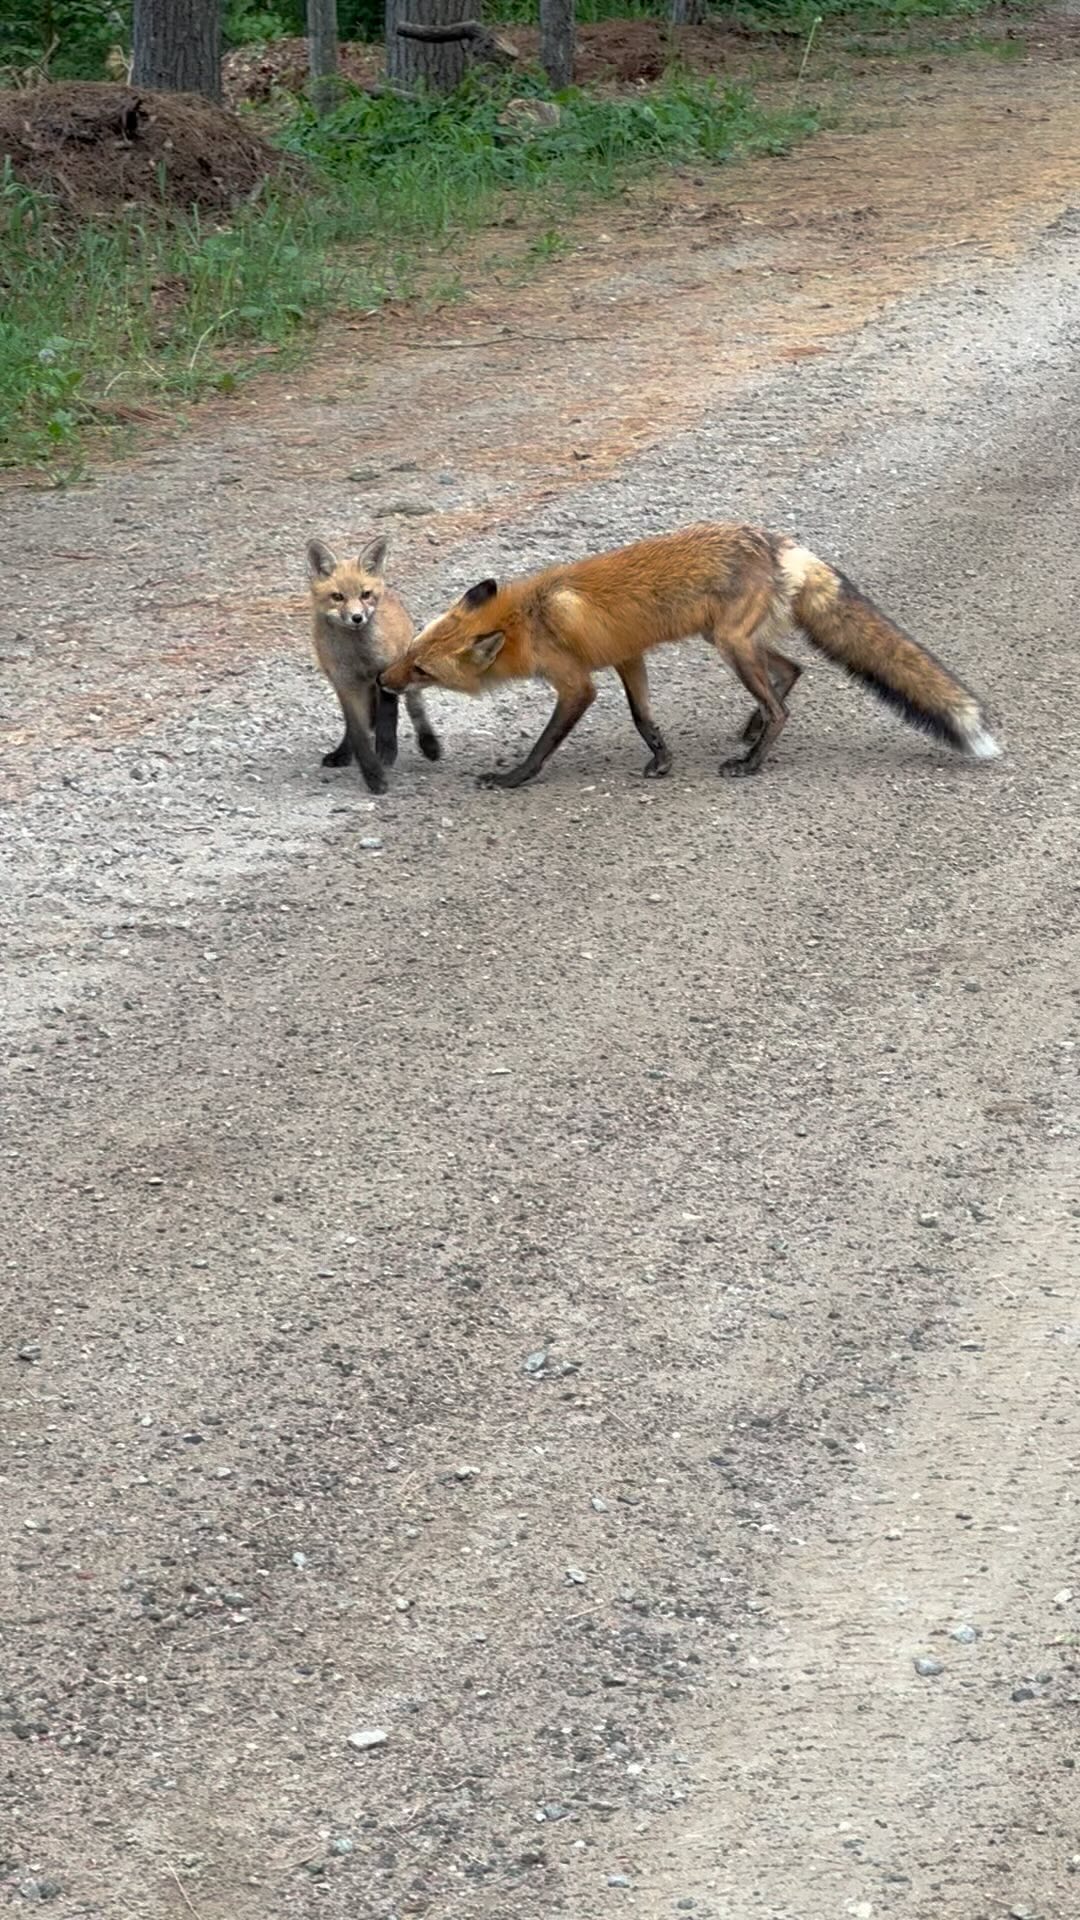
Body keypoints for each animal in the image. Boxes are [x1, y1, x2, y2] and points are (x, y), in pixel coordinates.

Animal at [307, 535, 441, 794]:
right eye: (337, 597)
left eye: (365, 594)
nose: (357, 618)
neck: (358, 656)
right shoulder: (345, 684)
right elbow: (358, 733)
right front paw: (373, 775)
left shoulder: (386, 670)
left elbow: (388, 714)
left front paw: (387, 750)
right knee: (359, 724)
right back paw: (342, 753)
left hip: (406, 672)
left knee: (415, 707)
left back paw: (429, 744)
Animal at [378, 522, 1000, 789]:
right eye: (410, 652)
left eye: (423, 670)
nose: (383, 679)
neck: (528, 618)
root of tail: (778, 544)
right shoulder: (628, 656)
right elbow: (644, 719)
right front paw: (662, 761)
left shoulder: (577, 683)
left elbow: (545, 744)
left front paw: (513, 779)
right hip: (732, 641)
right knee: (792, 671)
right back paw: (751, 729)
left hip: (730, 646)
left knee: (782, 706)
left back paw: (752, 760)